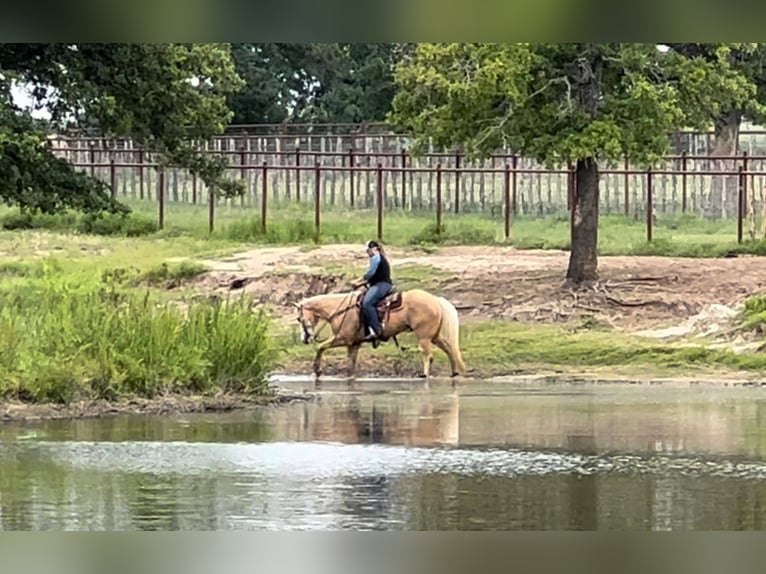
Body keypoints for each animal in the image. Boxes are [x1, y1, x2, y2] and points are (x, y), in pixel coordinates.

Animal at [296, 288, 468, 382]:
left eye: (298, 318)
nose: (304, 339)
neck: (342, 309)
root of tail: (436, 300)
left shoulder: (343, 338)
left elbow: (320, 347)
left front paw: (317, 370)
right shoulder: (354, 344)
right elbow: (350, 365)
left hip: (424, 337)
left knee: (428, 355)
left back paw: (424, 375)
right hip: (435, 336)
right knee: (449, 349)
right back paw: (454, 373)